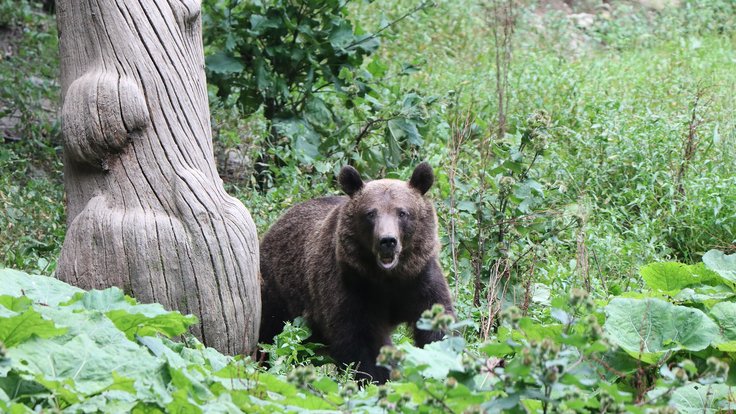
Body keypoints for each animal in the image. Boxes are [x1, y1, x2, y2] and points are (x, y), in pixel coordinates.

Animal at [258, 163, 454, 384]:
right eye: (370, 213)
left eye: (403, 212)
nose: (387, 241)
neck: (389, 278)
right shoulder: (352, 286)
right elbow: (361, 340)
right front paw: (376, 377)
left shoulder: (420, 279)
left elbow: (437, 326)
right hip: (279, 292)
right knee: (269, 333)